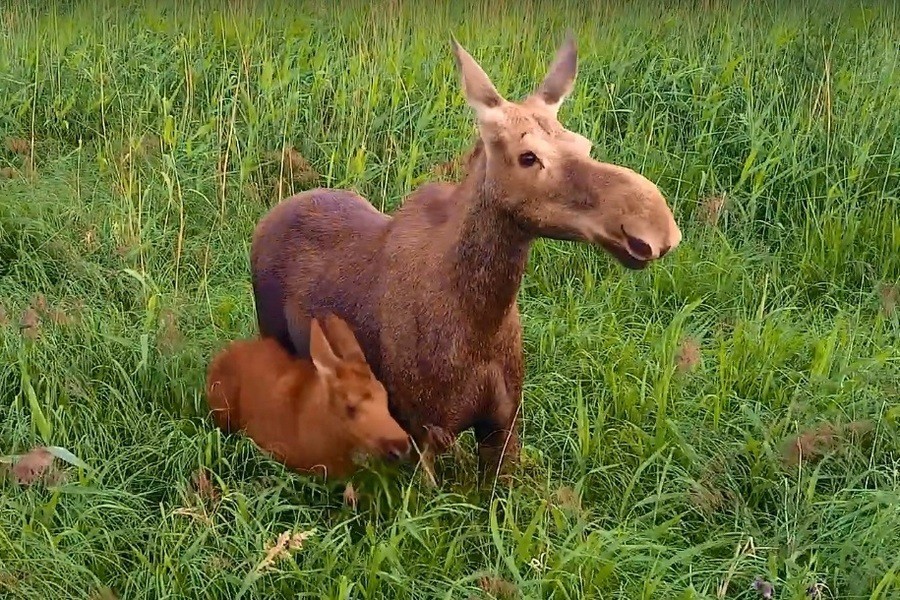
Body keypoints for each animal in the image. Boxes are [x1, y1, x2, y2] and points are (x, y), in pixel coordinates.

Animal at [248, 32, 684, 486]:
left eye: (584, 144)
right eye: (528, 156)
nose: (656, 227)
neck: (481, 319)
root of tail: (271, 215)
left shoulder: (503, 426)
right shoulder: (419, 431)